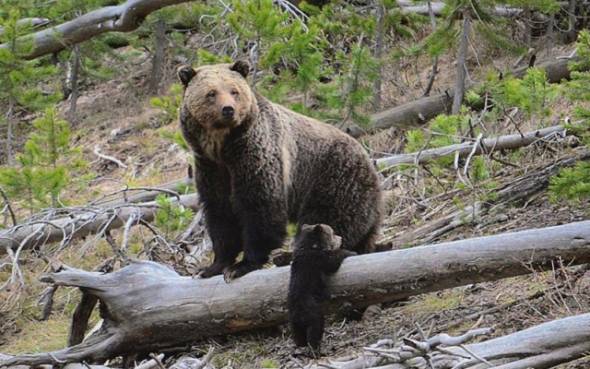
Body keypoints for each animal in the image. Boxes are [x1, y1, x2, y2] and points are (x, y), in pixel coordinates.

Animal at [179, 61, 384, 278]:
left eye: (234, 91)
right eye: (211, 93)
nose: (228, 110)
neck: (222, 147)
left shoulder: (256, 155)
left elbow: (260, 206)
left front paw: (243, 265)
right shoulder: (211, 168)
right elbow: (220, 213)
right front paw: (213, 266)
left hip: (335, 177)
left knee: (327, 220)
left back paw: (287, 255)